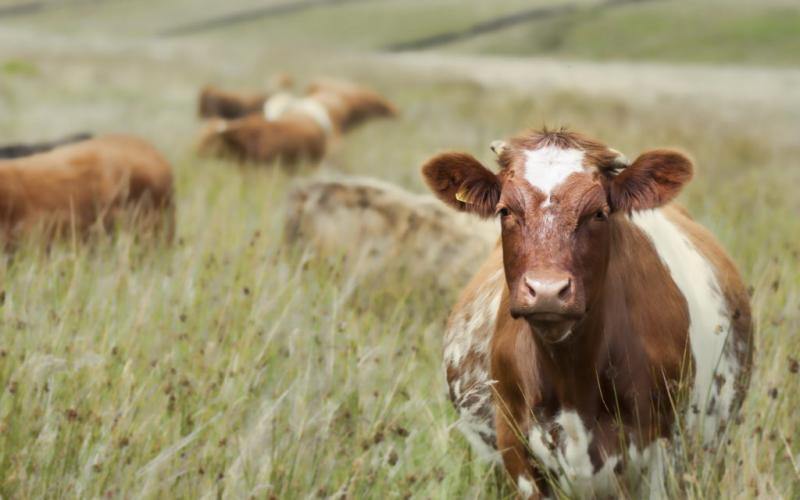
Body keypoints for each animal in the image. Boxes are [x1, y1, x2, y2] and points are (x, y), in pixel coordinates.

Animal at [422, 130, 752, 500]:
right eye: (505, 210)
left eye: (598, 213)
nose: (547, 290)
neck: (572, 376)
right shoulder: (515, 449)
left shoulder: (666, 450)